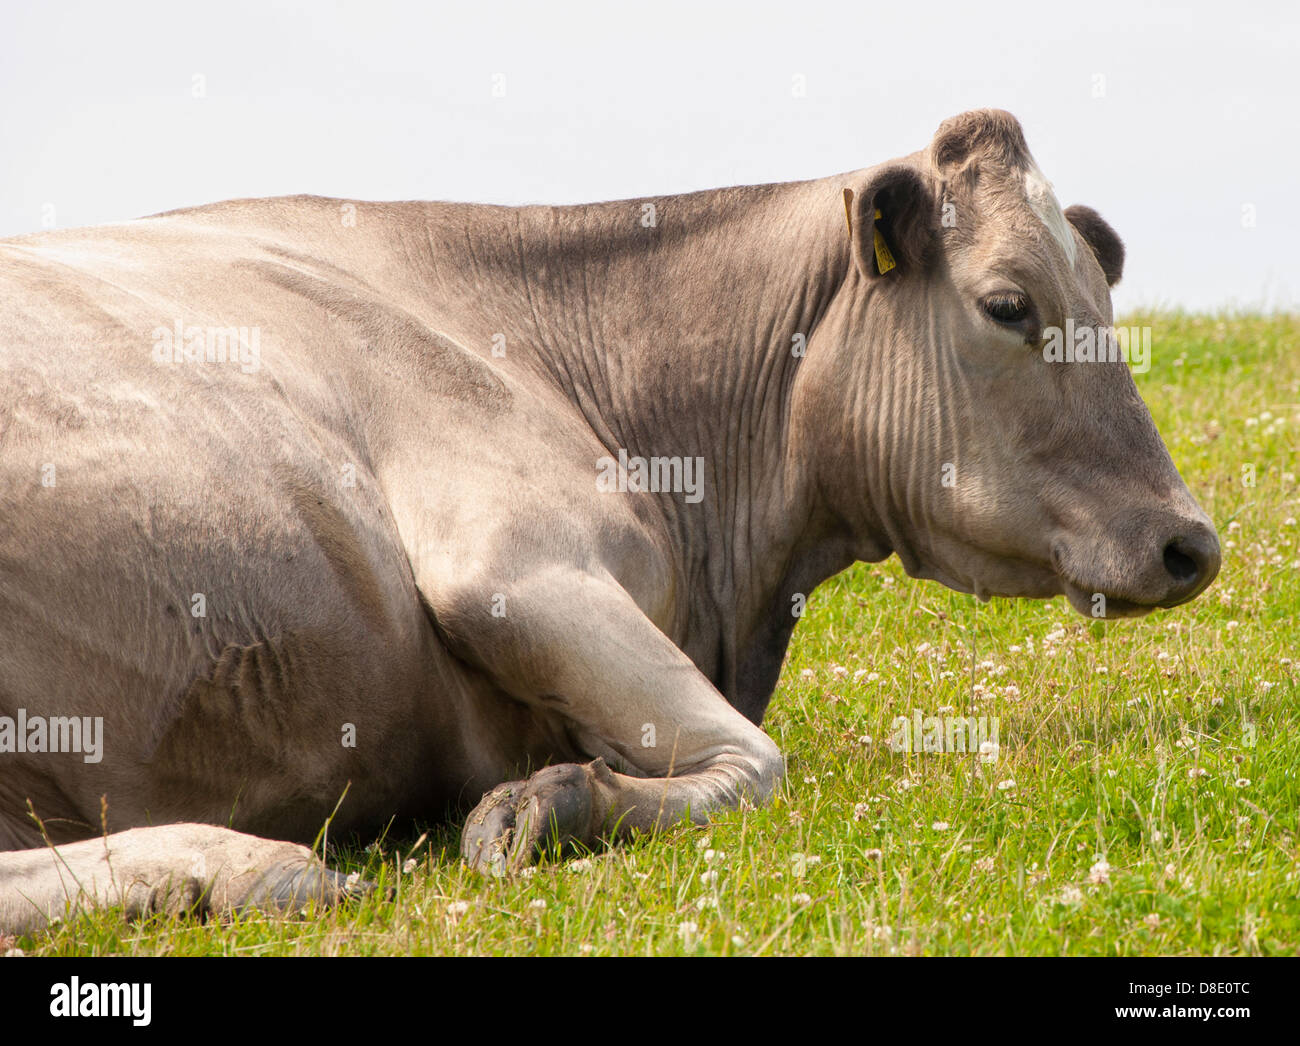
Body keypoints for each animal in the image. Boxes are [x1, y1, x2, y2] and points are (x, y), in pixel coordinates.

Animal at [0, 110, 1219, 934]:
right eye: (1010, 304)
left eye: (1108, 301)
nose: (1190, 541)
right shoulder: (512, 563)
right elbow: (758, 763)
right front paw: (551, 805)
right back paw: (249, 864)